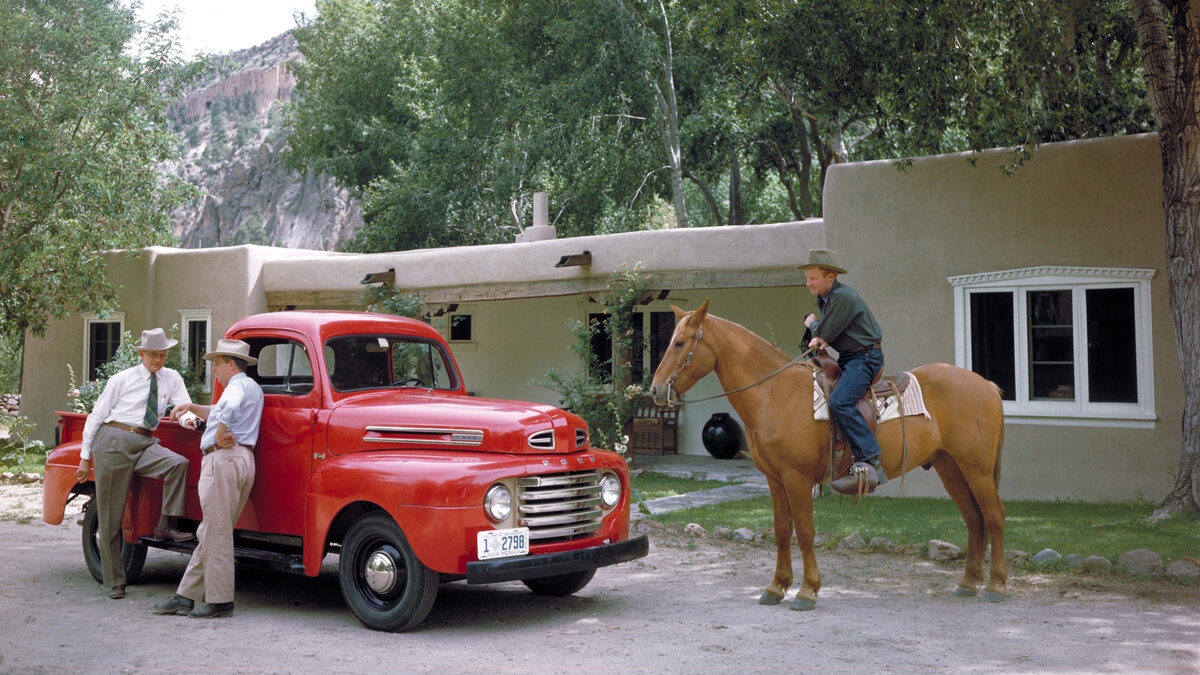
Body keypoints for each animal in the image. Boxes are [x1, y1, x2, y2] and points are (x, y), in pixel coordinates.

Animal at [648, 296, 1003, 607]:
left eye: (680, 343)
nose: (655, 389)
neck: (775, 393)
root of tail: (986, 385)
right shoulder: (774, 479)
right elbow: (781, 531)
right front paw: (776, 587)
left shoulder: (797, 479)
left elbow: (805, 532)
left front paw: (807, 591)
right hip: (950, 466)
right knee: (974, 519)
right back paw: (968, 583)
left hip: (977, 468)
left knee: (994, 516)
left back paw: (995, 586)